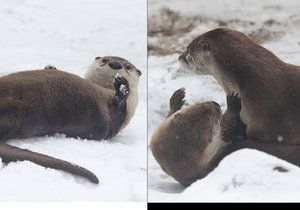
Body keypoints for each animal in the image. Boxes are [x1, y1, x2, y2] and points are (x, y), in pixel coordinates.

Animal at [0, 55, 142, 184]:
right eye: (105, 59)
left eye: (128, 67)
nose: (115, 64)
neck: (106, 91)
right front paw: (50, 67)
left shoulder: (114, 120)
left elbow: (118, 110)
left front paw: (122, 86)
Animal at [151, 88, 300, 185]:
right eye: (213, 123)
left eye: (197, 108)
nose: (215, 104)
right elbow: (229, 124)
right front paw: (233, 103)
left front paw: (176, 100)